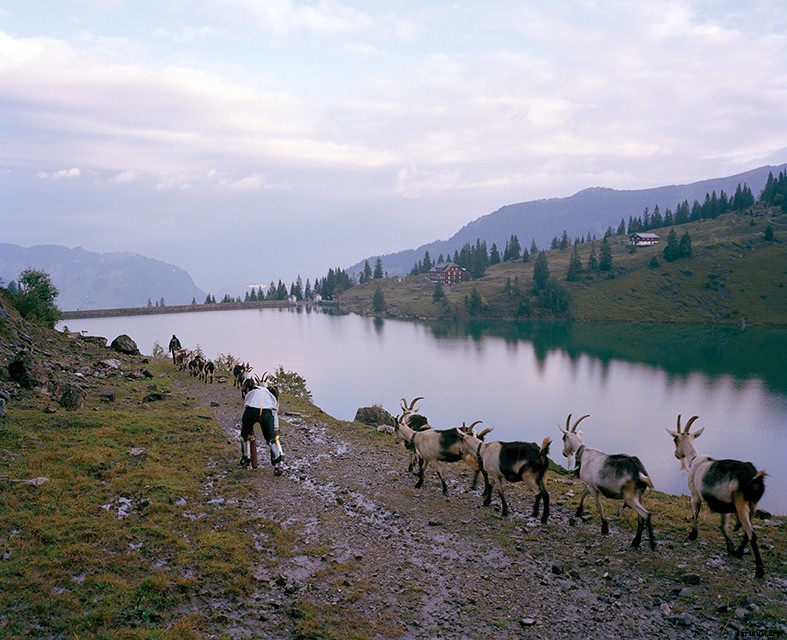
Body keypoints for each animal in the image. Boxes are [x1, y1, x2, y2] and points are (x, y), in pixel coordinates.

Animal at [560, 414, 656, 549]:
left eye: (564, 438)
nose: (564, 453)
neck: (584, 453)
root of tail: (639, 472)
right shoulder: (592, 485)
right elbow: (584, 494)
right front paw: (578, 512)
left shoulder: (592, 487)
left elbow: (599, 505)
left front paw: (604, 528)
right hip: (640, 495)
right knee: (641, 517)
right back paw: (636, 541)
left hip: (630, 497)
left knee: (646, 514)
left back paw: (649, 543)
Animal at [667, 415, 766, 578]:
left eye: (675, 440)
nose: (676, 455)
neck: (694, 460)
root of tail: (754, 478)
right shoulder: (724, 504)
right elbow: (723, 526)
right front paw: (730, 548)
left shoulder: (695, 496)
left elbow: (696, 513)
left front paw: (692, 535)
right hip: (752, 505)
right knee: (748, 531)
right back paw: (739, 552)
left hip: (741, 505)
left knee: (752, 533)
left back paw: (759, 570)